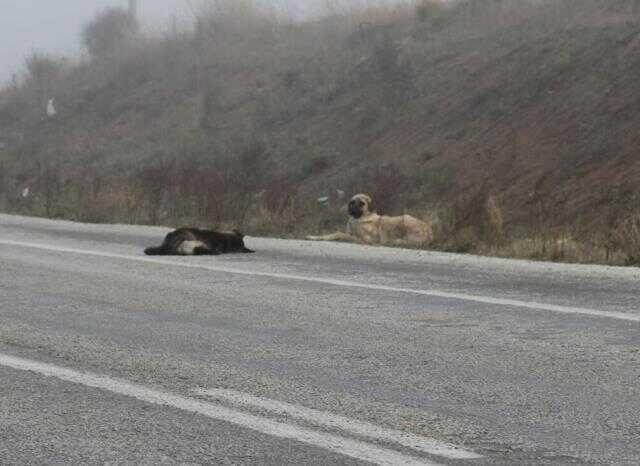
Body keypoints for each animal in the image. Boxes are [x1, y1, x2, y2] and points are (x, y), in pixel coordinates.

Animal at [306, 193, 436, 246]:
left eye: (362, 203)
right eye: (352, 202)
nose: (352, 209)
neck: (358, 219)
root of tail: (430, 233)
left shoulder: (365, 239)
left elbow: (339, 234)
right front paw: (313, 237)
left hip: (405, 219)